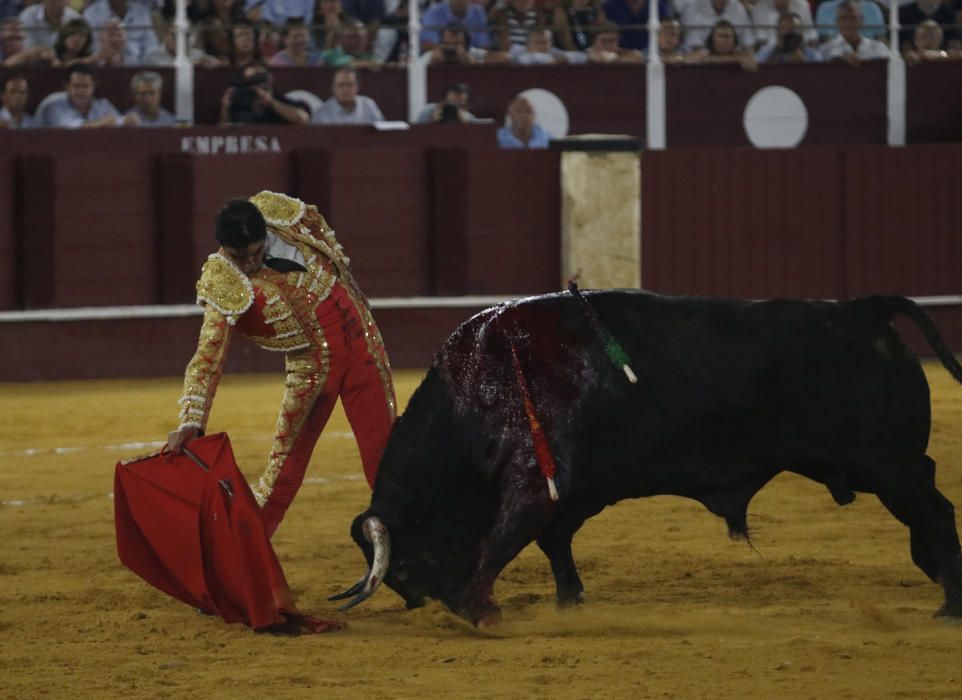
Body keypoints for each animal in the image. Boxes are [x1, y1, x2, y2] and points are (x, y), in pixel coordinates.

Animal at [332, 290, 960, 624]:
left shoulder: (534, 484)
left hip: (883, 461)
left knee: (935, 508)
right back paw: (935, 572)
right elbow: (553, 543)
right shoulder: (567, 495)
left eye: (404, 566)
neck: (477, 387)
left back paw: (949, 604)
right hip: (878, 464)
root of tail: (863, 309)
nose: (424, 603)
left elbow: (503, 540)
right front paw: (568, 601)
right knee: (928, 498)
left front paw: (478, 609)